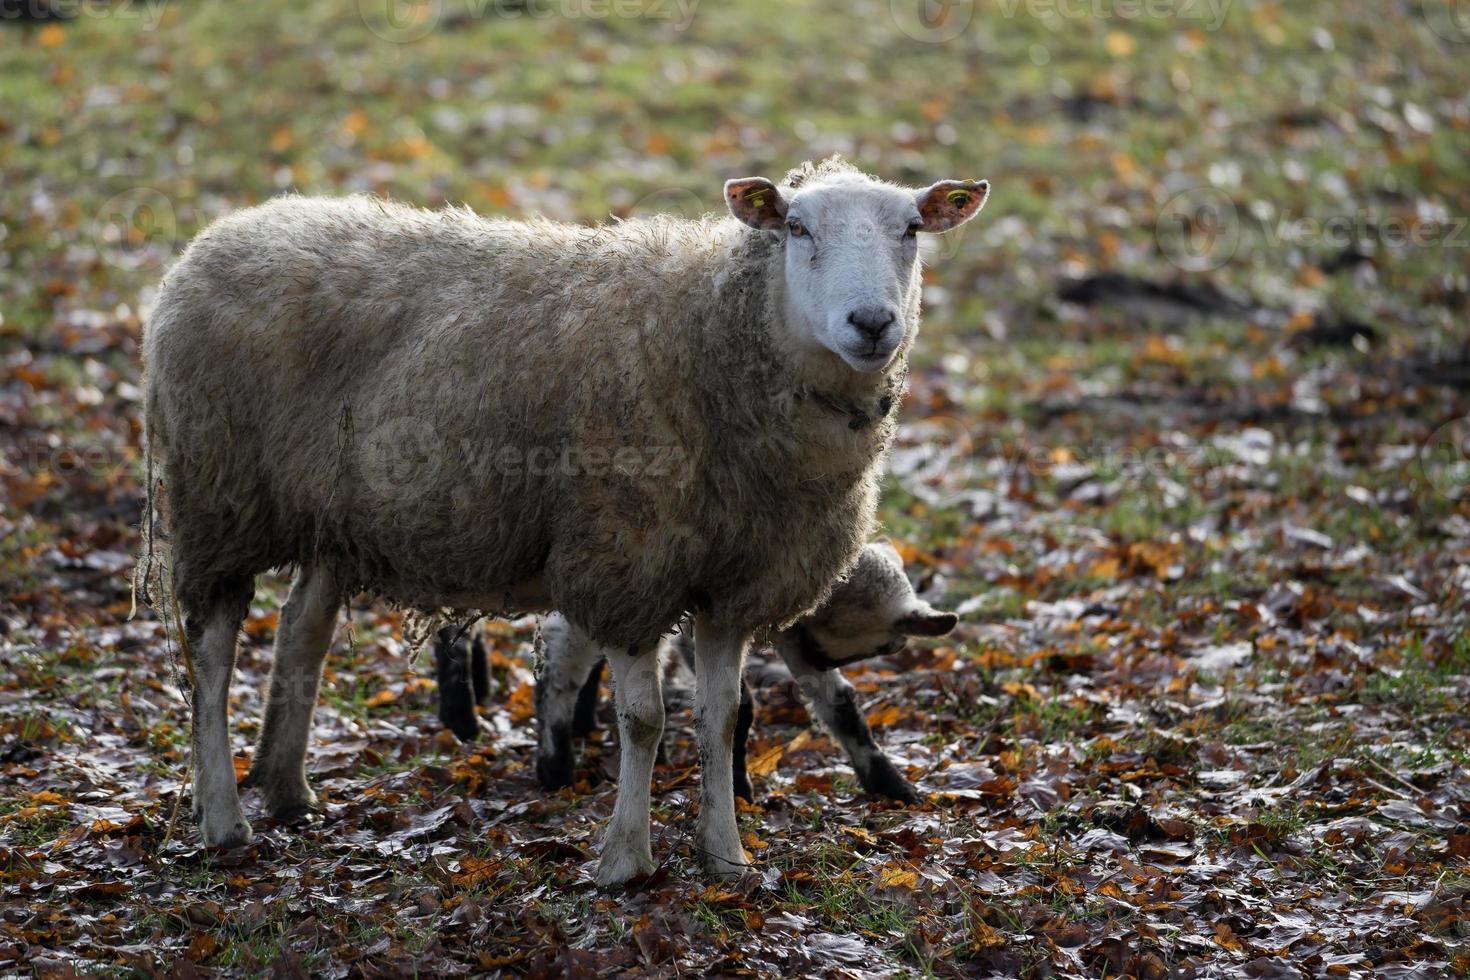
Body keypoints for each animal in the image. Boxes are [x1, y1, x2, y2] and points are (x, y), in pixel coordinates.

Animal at [140, 157, 987, 887]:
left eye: (913, 228)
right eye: (798, 228)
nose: (872, 322)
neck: (712, 331)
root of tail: (222, 234)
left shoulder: (735, 585)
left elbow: (718, 720)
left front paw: (726, 856)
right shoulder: (627, 560)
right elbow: (643, 720)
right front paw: (626, 861)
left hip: (328, 515)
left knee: (301, 632)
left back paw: (287, 790)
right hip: (218, 495)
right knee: (211, 655)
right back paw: (224, 819)